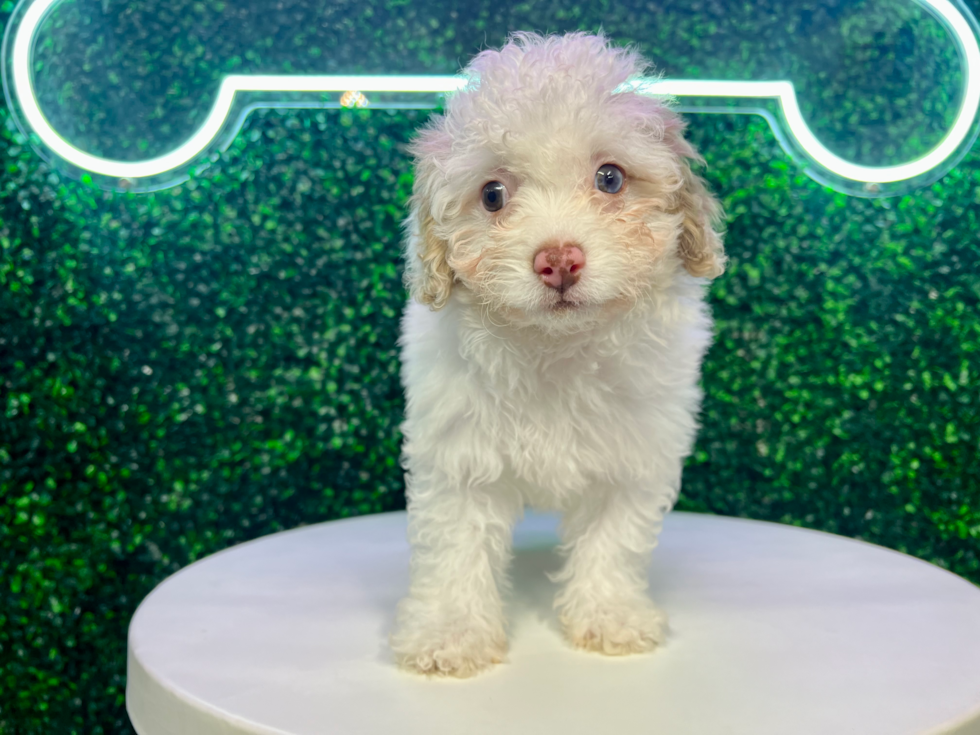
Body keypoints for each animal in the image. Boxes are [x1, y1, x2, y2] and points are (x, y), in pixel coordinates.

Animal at [386, 33, 724, 680]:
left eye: (610, 178)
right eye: (493, 195)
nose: (559, 260)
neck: (556, 347)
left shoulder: (635, 454)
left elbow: (614, 540)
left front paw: (610, 617)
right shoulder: (457, 456)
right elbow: (454, 547)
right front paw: (450, 634)